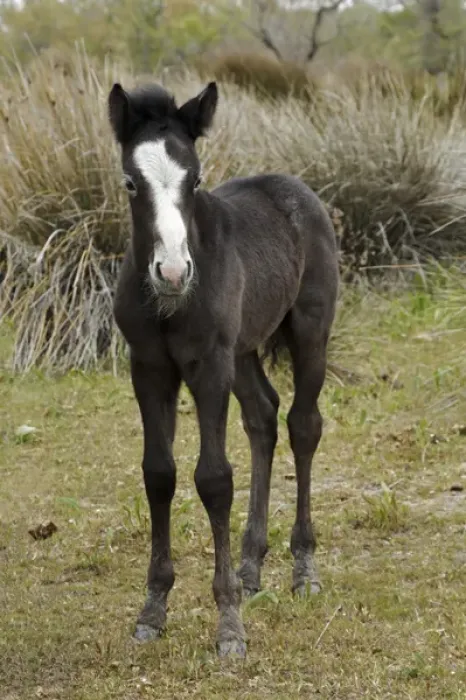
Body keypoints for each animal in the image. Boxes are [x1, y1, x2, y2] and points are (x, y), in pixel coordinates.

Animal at [108, 79, 339, 657]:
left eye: (195, 179)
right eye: (130, 182)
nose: (172, 271)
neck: (170, 304)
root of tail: (297, 188)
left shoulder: (208, 365)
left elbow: (213, 479)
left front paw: (229, 625)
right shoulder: (149, 368)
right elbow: (159, 474)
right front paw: (153, 610)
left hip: (309, 332)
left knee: (303, 425)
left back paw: (303, 569)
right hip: (243, 351)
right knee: (262, 417)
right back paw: (252, 567)